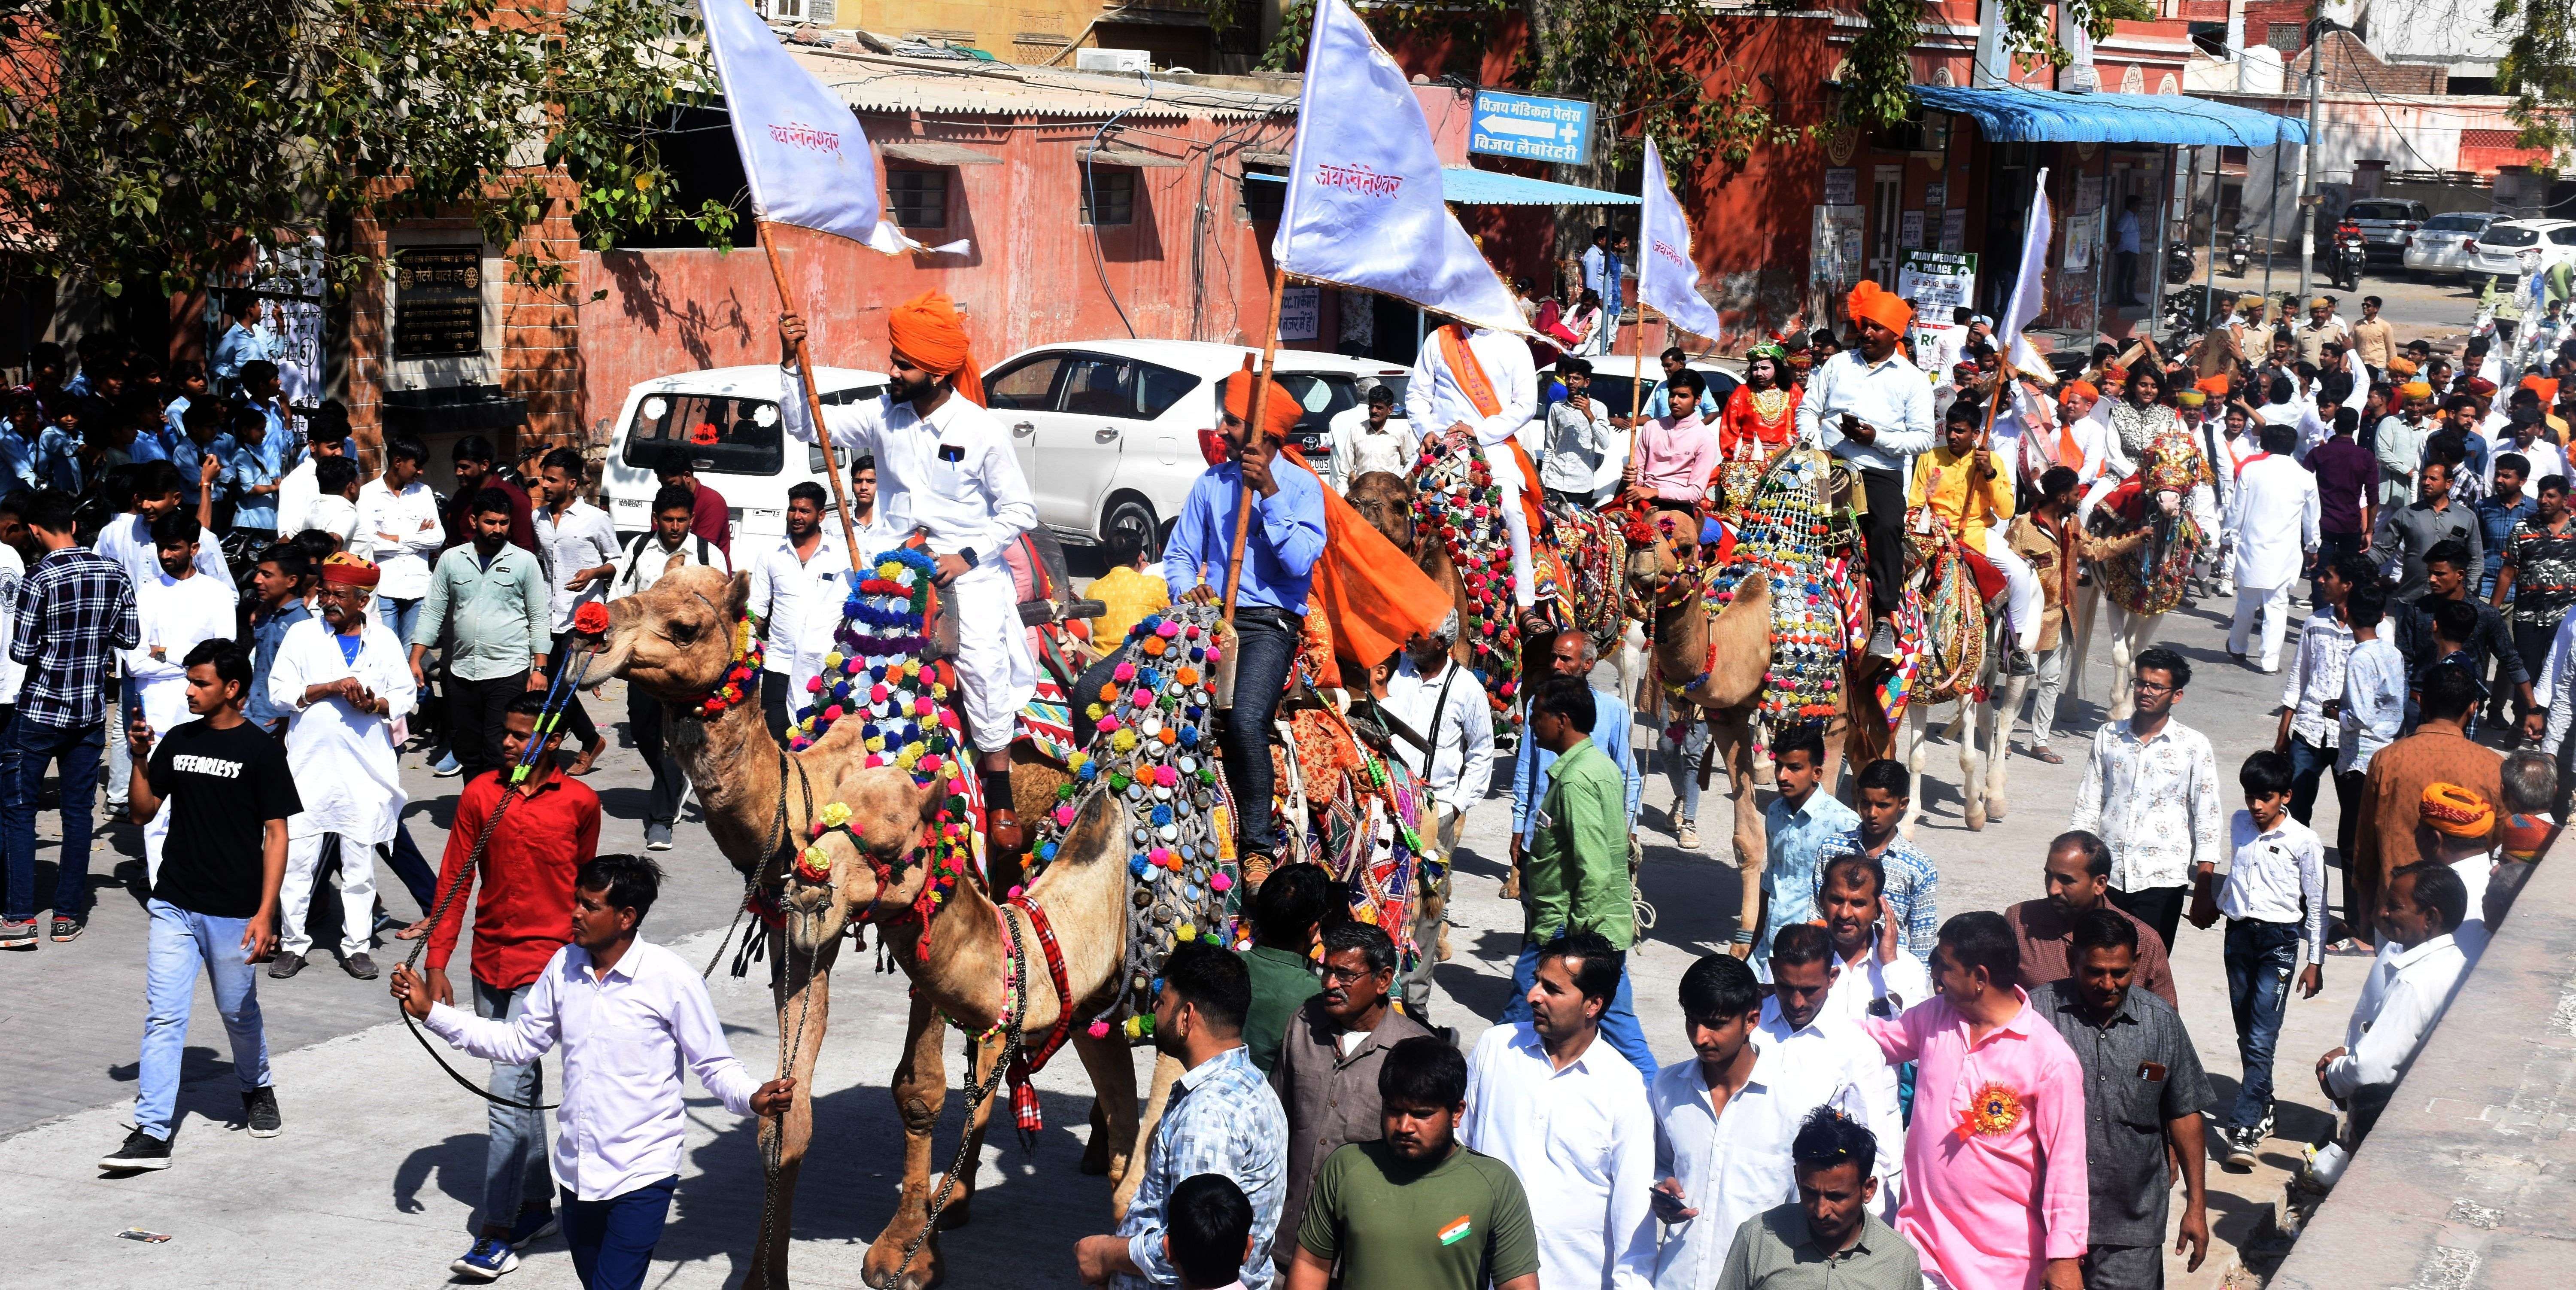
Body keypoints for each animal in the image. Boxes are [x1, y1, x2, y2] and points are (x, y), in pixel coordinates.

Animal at [582, 564, 1236, 1287]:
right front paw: (765, 1272)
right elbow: (787, 1117)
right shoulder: (799, 928)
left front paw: (905, 1253)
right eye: (639, 589)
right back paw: (983, 1187)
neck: (827, 773)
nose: (592, 633)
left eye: (686, 625)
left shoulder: (929, 893)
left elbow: (919, 1090)